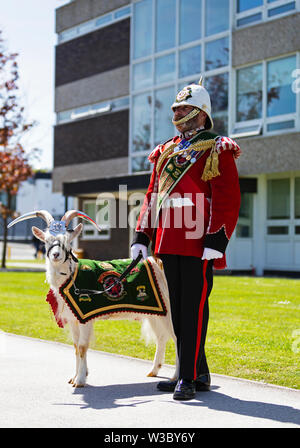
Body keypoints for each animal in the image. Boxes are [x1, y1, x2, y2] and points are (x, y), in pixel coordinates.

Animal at [8, 210, 178, 388]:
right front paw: (74, 377)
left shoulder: (85, 316)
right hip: (157, 312)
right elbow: (76, 346)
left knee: (177, 338)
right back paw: (154, 370)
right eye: (47, 241)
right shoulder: (74, 318)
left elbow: (83, 346)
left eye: (67, 241)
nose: (55, 255)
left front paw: (80, 380)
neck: (72, 276)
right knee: (161, 337)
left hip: (169, 310)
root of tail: (158, 262)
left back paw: (174, 378)